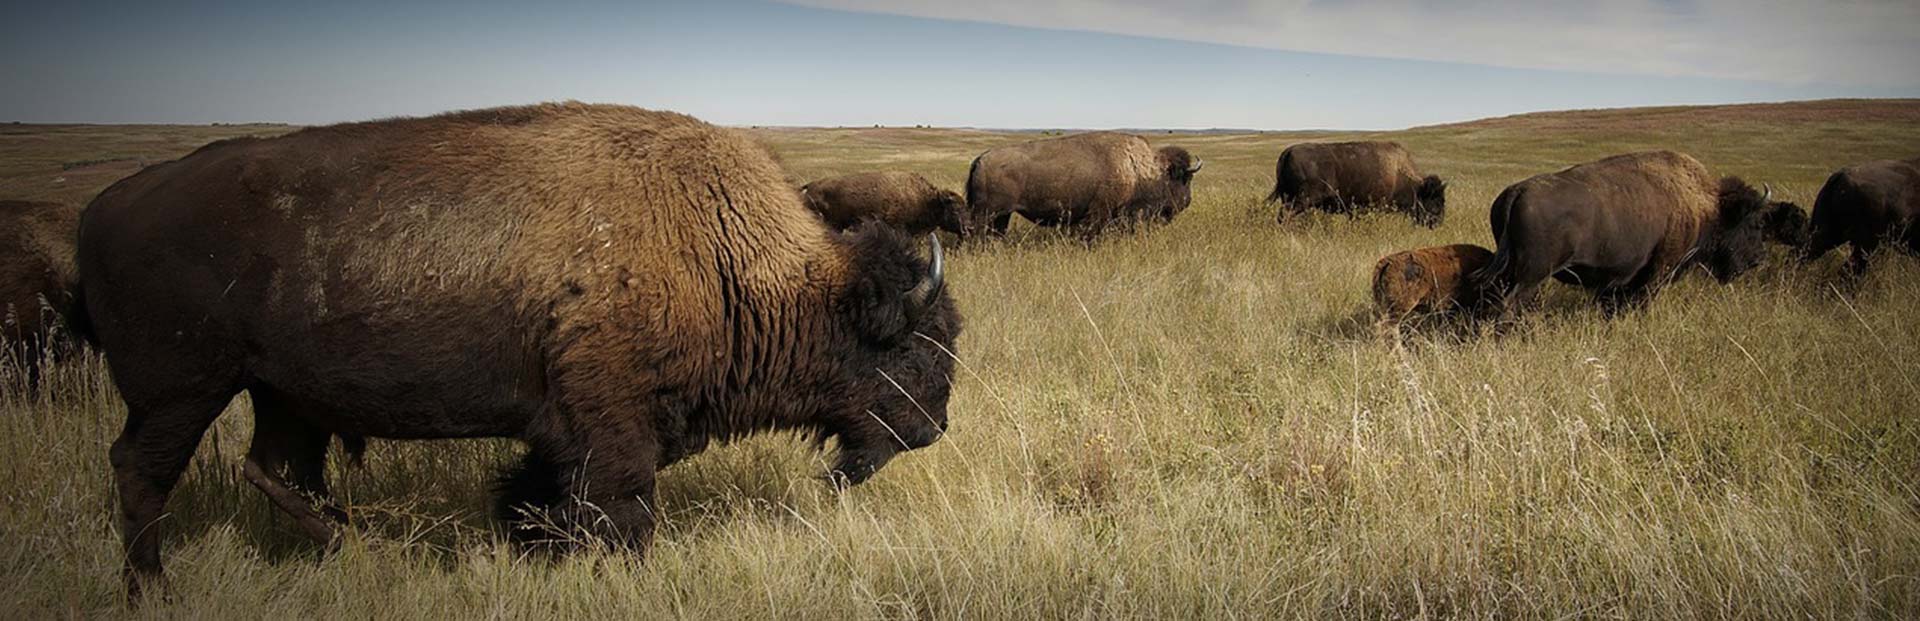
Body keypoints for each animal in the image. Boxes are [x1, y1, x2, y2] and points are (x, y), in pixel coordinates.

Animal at [963, 131, 1201, 240]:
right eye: (1184, 179)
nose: (1187, 202)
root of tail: (980, 159)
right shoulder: (1100, 212)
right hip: (987, 213)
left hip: (1002, 215)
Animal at [1266, 141, 1446, 228]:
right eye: (1436, 200)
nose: (1438, 223)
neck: (1398, 173)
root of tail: (1288, 152)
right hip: (1301, 200)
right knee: (1286, 215)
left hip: (1289, 197)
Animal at [1475, 150, 1806, 316]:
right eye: (1755, 224)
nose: (1758, 260)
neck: (1705, 207)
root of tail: (1517, 191)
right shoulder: (1657, 273)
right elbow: (1642, 301)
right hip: (1532, 275)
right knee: (1510, 304)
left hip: (1510, 272)